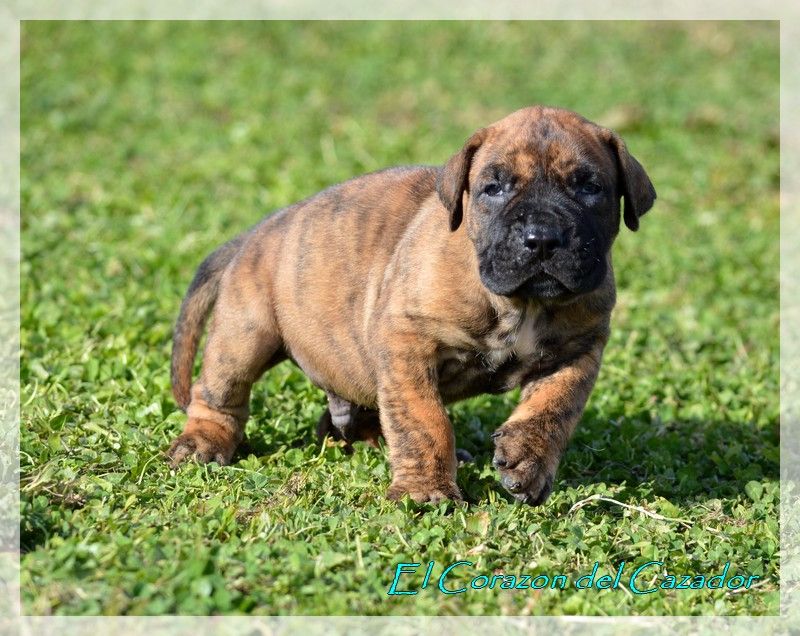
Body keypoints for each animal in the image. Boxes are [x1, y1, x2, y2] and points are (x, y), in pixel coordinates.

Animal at [167, 105, 656, 505]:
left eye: (589, 187)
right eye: (493, 188)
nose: (542, 238)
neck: (521, 303)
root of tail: (256, 233)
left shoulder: (580, 346)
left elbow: (555, 406)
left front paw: (527, 459)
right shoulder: (407, 342)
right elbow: (424, 419)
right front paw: (426, 491)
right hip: (245, 335)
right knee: (219, 393)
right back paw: (202, 442)